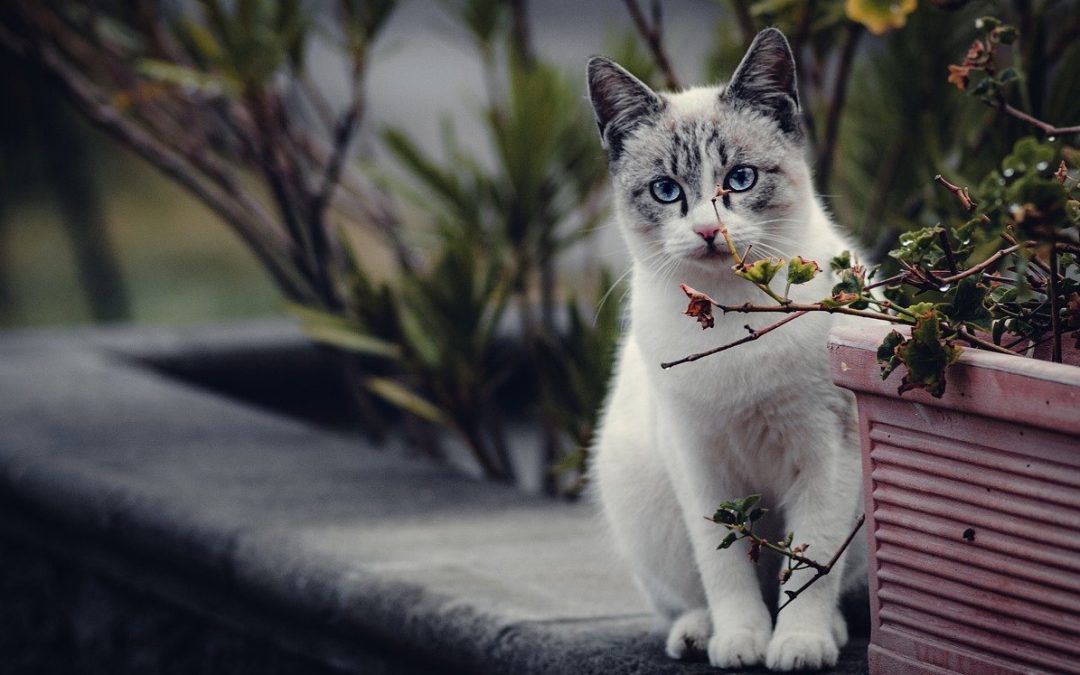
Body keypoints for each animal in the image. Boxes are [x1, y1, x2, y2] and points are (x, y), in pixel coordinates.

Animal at [587, 28, 864, 669]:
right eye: (666, 191)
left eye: (739, 180)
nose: (710, 231)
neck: (735, 317)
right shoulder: (698, 460)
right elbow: (725, 566)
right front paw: (742, 640)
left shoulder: (828, 449)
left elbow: (811, 565)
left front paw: (799, 643)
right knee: (686, 595)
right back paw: (697, 634)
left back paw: (832, 631)